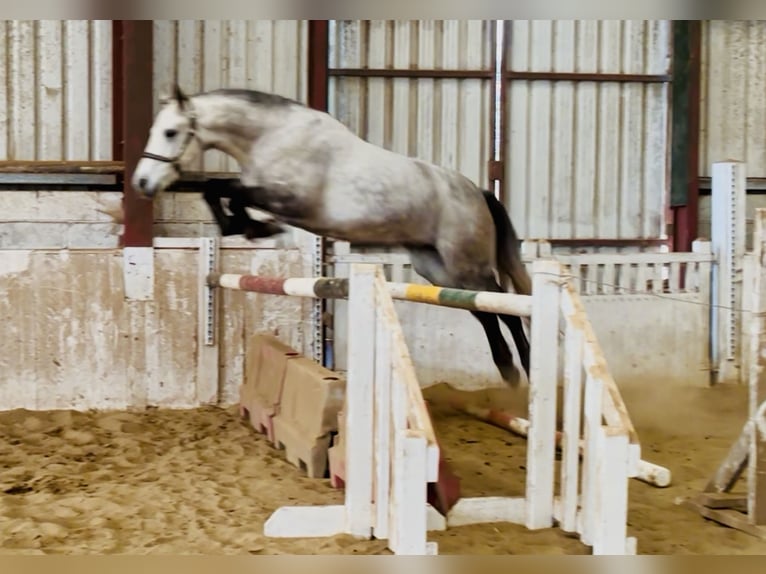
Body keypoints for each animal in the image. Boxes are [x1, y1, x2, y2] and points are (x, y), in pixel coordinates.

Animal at [131, 84, 533, 387]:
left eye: (170, 133)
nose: (142, 183)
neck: (272, 136)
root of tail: (476, 191)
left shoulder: (290, 200)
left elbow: (229, 189)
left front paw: (255, 227)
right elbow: (218, 189)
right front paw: (245, 227)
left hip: (467, 265)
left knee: (504, 306)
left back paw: (524, 368)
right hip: (437, 269)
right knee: (483, 311)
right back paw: (508, 369)